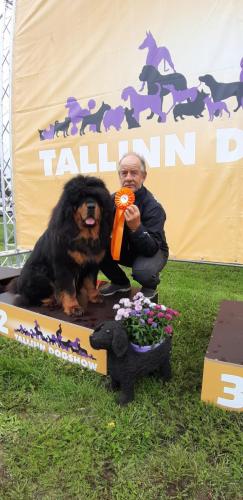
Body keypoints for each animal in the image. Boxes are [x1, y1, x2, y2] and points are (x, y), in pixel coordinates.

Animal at [8, 176, 113, 316]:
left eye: (97, 198)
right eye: (80, 198)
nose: (91, 206)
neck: (85, 235)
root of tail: (19, 285)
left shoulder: (92, 263)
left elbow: (91, 281)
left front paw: (95, 296)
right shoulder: (64, 265)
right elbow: (69, 288)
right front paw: (73, 307)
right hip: (39, 274)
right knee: (28, 298)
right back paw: (51, 301)